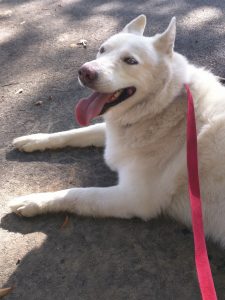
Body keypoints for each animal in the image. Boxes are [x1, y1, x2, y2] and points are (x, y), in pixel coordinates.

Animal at [10, 14, 225, 246]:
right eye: (103, 50)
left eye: (130, 61)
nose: (85, 72)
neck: (165, 106)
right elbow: (75, 133)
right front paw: (35, 140)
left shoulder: (132, 198)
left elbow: (78, 194)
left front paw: (33, 201)